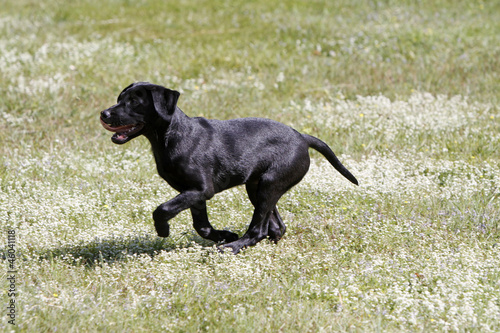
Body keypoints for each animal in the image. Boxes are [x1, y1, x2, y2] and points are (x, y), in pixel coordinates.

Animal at [100, 81, 360, 253]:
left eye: (134, 102)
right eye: (120, 98)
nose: (104, 113)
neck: (170, 137)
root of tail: (302, 137)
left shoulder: (201, 190)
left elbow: (162, 209)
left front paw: (163, 230)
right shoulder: (192, 194)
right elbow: (201, 226)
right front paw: (223, 235)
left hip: (269, 184)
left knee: (259, 229)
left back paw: (233, 247)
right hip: (257, 187)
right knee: (276, 227)